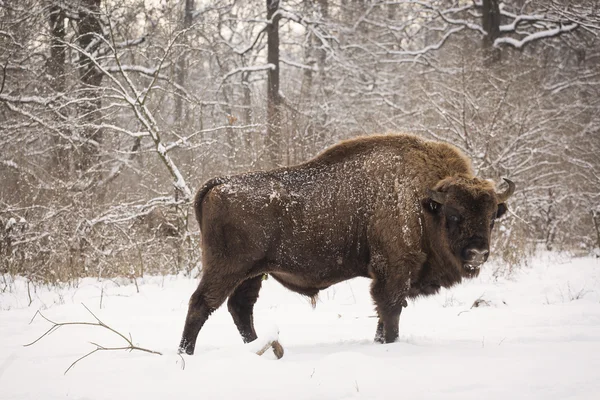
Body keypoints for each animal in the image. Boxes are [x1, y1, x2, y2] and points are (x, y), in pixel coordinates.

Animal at [177, 134, 510, 354]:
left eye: (492, 217)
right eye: (453, 215)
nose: (478, 253)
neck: (423, 202)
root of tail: (218, 184)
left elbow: (383, 315)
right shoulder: (394, 272)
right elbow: (390, 311)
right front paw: (389, 344)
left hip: (253, 273)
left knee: (240, 308)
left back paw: (262, 348)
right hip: (228, 268)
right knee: (201, 304)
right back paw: (185, 353)